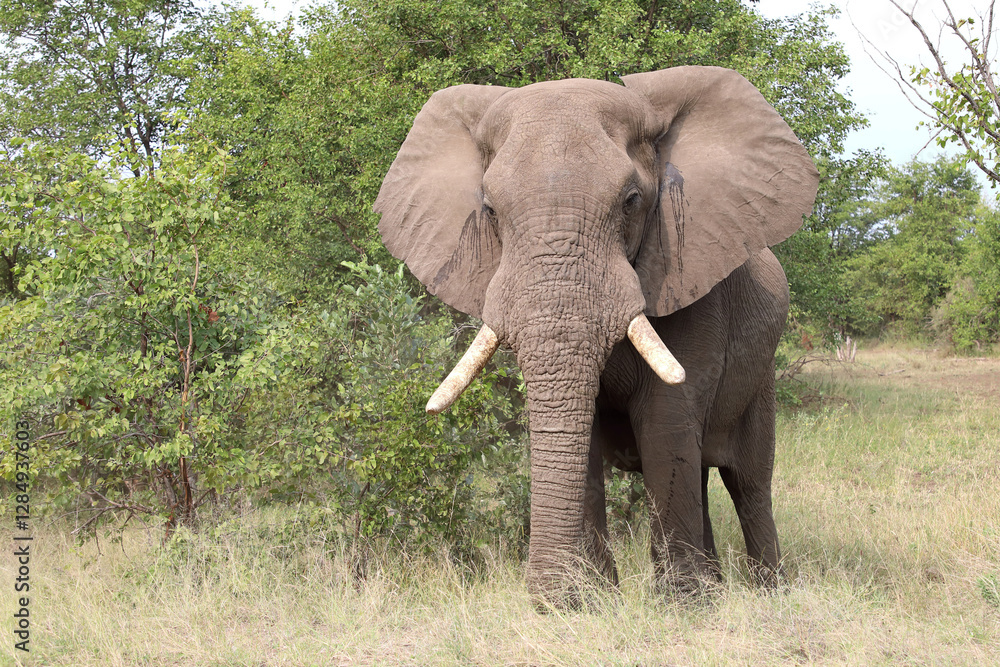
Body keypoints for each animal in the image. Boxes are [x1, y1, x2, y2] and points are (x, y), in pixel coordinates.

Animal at [374, 66, 819, 604]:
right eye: (490, 211)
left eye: (631, 202)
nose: (544, 598)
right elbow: (582, 435)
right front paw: (589, 602)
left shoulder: (688, 284)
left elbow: (665, 426)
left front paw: (679, 606)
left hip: (762, 374)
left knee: (748, 481)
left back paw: (768, 593)